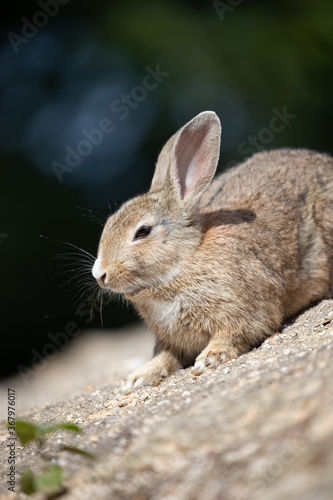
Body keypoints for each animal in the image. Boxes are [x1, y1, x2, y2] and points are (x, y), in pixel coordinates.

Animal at [91, 109, 332, 390]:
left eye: (143, 232)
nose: (99, 274)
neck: (182, 266)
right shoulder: (171, 340)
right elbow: (165, 356)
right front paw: (139, 376)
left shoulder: (244, 310)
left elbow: (237, 333)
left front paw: (210, 358)